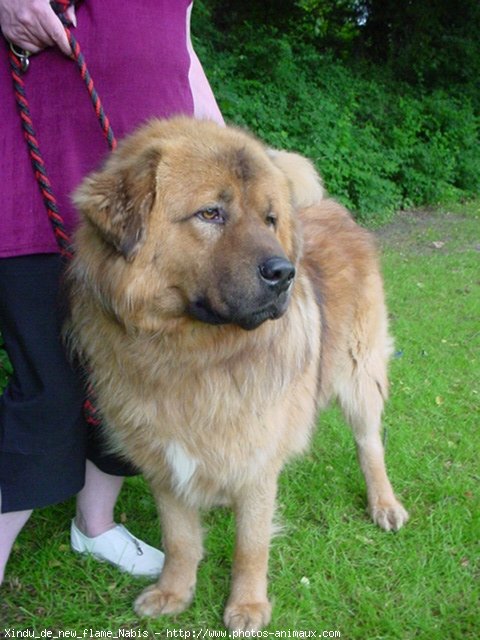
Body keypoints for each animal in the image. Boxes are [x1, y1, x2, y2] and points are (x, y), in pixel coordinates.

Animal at [65, 117, 406, 632]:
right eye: (211, 213)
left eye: (270, 219)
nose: (283, 273)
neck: (189, 353)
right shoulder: (164, 461)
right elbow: (180, 540)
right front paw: (173, 592)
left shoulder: (257, 464)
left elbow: (251, 545)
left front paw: (247, 605)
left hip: (359, 375)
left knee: (370, 446)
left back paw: (384, 504)